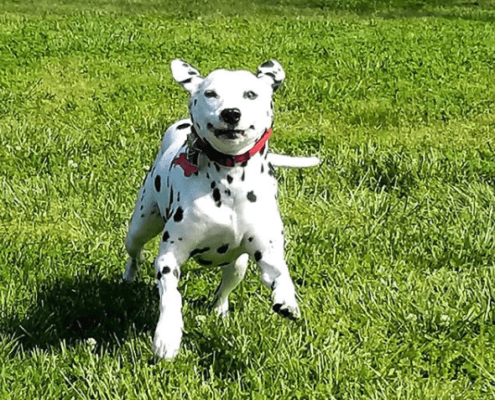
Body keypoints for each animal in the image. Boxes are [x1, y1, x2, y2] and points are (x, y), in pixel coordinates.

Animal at [122, 59, 320, 360]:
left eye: (250, 94)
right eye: (210, 93)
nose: (231, 113)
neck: (230, 180)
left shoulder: (267, 250)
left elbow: (279, 271)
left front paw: (287, 298)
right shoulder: (170, 257)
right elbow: (171, 295)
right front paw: (167, 335)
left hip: (238, 265)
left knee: (225, 288)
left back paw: (220, 310)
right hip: (140, 225)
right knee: (135, 252)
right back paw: (129, 276)